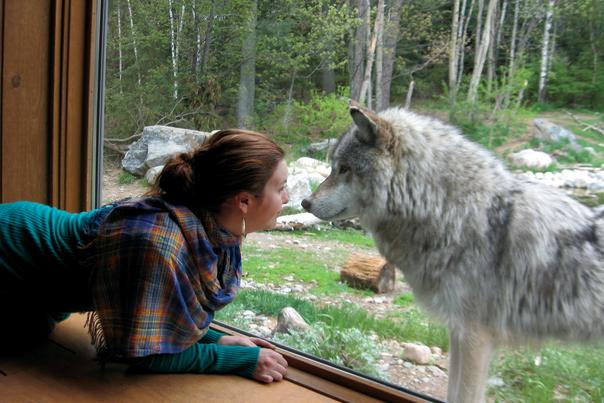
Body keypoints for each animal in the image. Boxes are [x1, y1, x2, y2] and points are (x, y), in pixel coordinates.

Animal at [300, 105, 604, 403]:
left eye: (344, 169)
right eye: (334, 168)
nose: (305, 202)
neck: (449, 209)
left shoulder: (474, 337)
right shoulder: (459, 331)